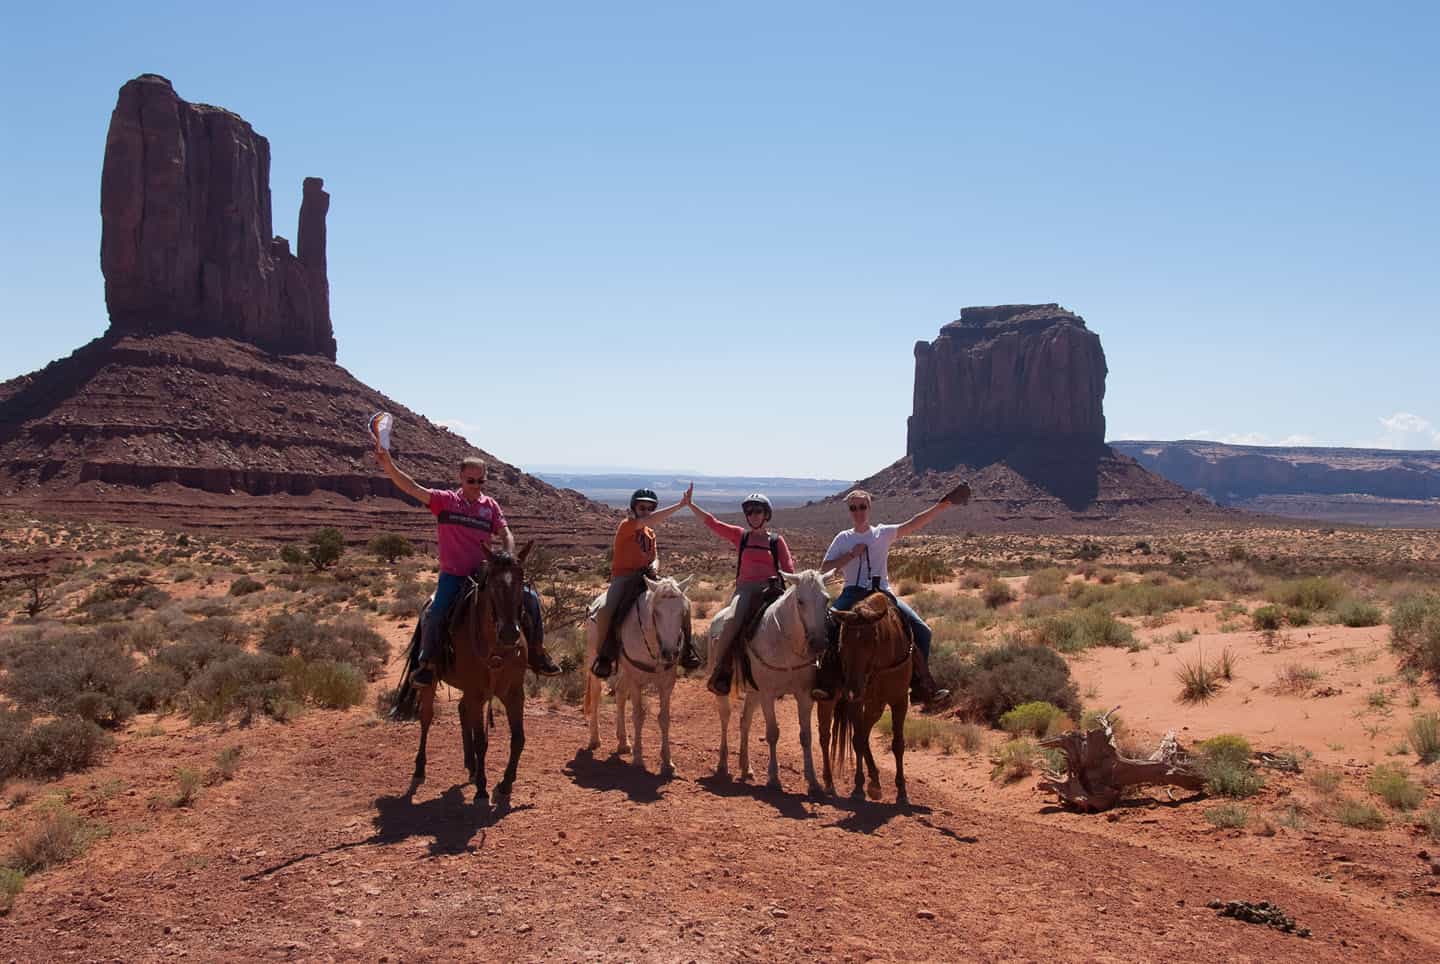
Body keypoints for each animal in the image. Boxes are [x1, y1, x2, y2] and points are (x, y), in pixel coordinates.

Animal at [391, 541, 532, 806]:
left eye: (522, 580)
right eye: (492, 583)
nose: (510, 633)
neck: (496, 649)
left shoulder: (514, 693)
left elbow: (518, 738)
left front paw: (505, 784)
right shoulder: (477, 694)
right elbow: (481, 741)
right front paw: (482, 789)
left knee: (461, 709)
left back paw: (471, 766)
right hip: (432, 682)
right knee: (426, 718)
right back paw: (420, 769)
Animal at [587, 570, 694, 772]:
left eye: (682, 612)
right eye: (656, 612)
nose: (670, 652)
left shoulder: (667, 683)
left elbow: (664, 718)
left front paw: (667, 761)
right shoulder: (636, 680)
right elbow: (638, 716)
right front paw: (638, 759)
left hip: (625, 672)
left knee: (620, 694)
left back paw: (623, 742)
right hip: (594, 663)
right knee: (596, 694)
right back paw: (595, 739)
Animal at [708, 567, 835, 795]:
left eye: (826, 599)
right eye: (800, 601)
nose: (819, 642)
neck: (786, 644)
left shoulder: (804, 695)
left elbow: (806, 735)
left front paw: (813, 781)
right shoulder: (768, 694)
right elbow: (773, 733)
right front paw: (774, 778)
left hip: (753, 692)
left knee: (745, 721)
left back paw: (746, 767)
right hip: (728, 689)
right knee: (725, 718)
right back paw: (722, 764)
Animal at [829, 593, 904, 806]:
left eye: (871, 642)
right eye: (842, 641)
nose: (852, 689)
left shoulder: (900, 700)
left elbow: (898, 744)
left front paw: (902, 791)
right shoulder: (858, 702)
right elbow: (858, 740)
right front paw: (859, 787)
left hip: (876, 706)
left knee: (866, 730)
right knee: (862, 734)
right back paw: (873, 782)